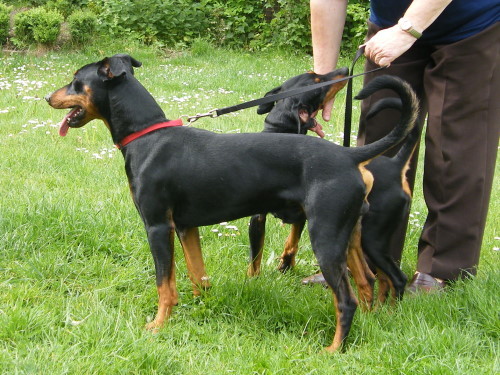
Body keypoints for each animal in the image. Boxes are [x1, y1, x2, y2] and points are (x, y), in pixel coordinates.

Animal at [46, 53, 418, 352]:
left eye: (77, 81)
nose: (48, 97)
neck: (148, 136)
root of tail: (351, 156)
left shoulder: (158, 227)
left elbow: (165, 284)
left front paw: (158, 325)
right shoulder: (186, 227)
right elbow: (197, 275)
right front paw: (201, 309)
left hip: (326, 239)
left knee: (348, 299)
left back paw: (333, 350)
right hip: (354, 235)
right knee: (367, 282)